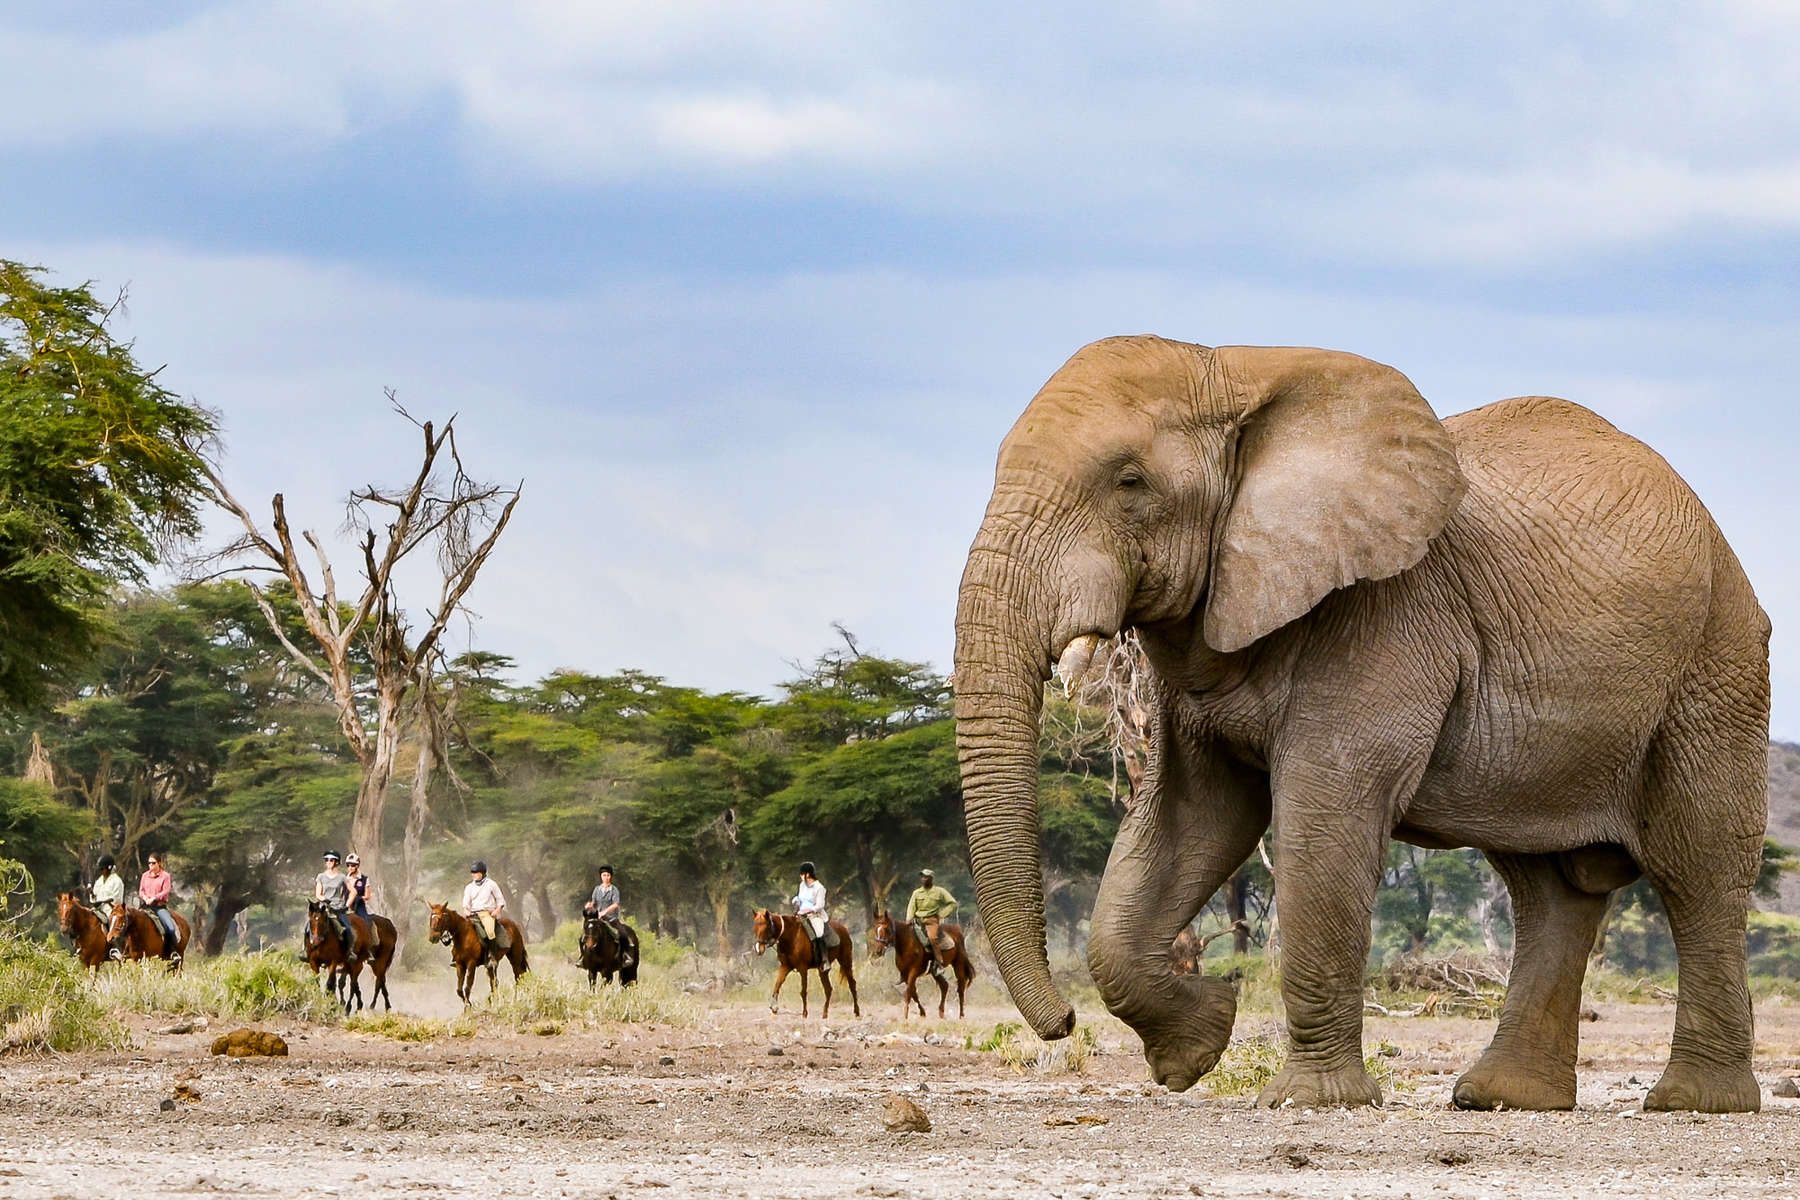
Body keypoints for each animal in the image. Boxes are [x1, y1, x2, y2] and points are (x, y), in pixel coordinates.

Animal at [957, 332, 1771, 1115]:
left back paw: (1695, 1103)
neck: (1236, 374)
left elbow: (1323, 816)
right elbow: (1188, 821)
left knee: (1697, 866)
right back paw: (1502, 1099)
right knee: (1547, 890)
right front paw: (1196, 1048)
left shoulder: (1388, 611)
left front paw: (1307, 1101)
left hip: (1716, 662)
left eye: (1129, 483)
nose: (1063, 1024)